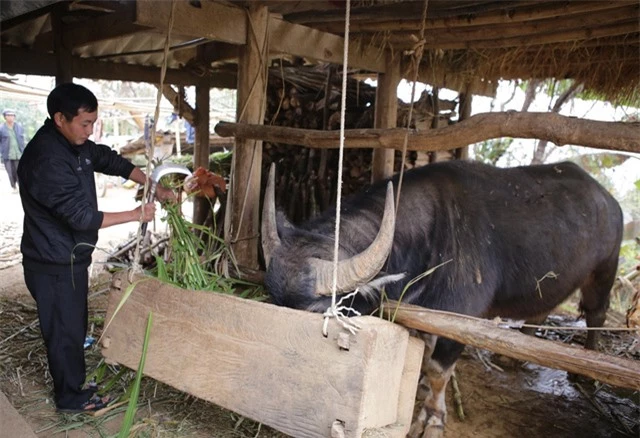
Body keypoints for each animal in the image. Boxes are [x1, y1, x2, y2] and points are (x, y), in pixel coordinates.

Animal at [260, 159, 620, 436]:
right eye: (272, 301)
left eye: (319, 312)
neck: (431, 234)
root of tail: (608, 201)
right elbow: (424, 355)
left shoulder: (461, 317)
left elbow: (437, 369)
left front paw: (431, 419)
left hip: (605, 270)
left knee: (597, 313)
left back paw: (587, 374)